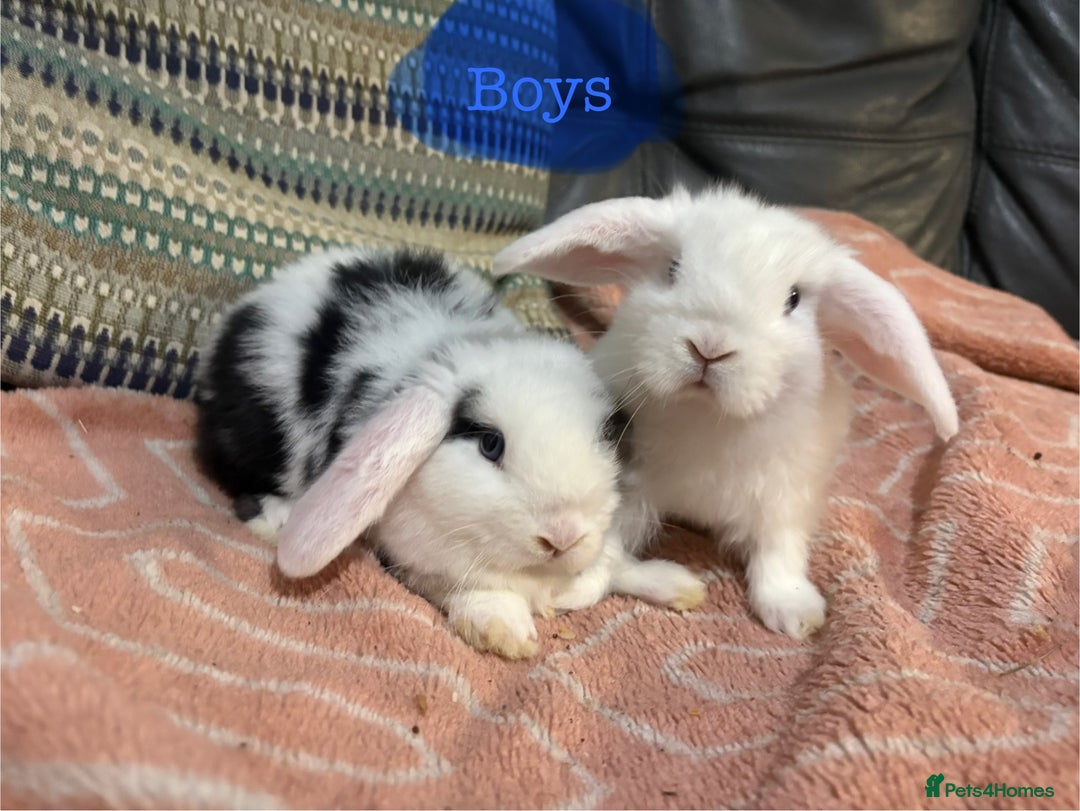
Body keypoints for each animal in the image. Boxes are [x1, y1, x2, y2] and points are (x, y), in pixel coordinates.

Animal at [194, 246, 706, 659]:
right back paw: (275, 518)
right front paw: (504, 630)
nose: (561, 536)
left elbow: (617, 567)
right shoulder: (417, 559)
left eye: (605, 436)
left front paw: (682, 585)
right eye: (490, 444)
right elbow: (469, 590)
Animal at [492, 186, 959, 639]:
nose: (710, 347)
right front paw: (578, 588)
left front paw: (793, 612)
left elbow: (779, 552)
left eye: (793, 299)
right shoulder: (631, 488)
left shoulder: (785, 496)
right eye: (673, 269)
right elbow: (609, 543)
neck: (710, 416)